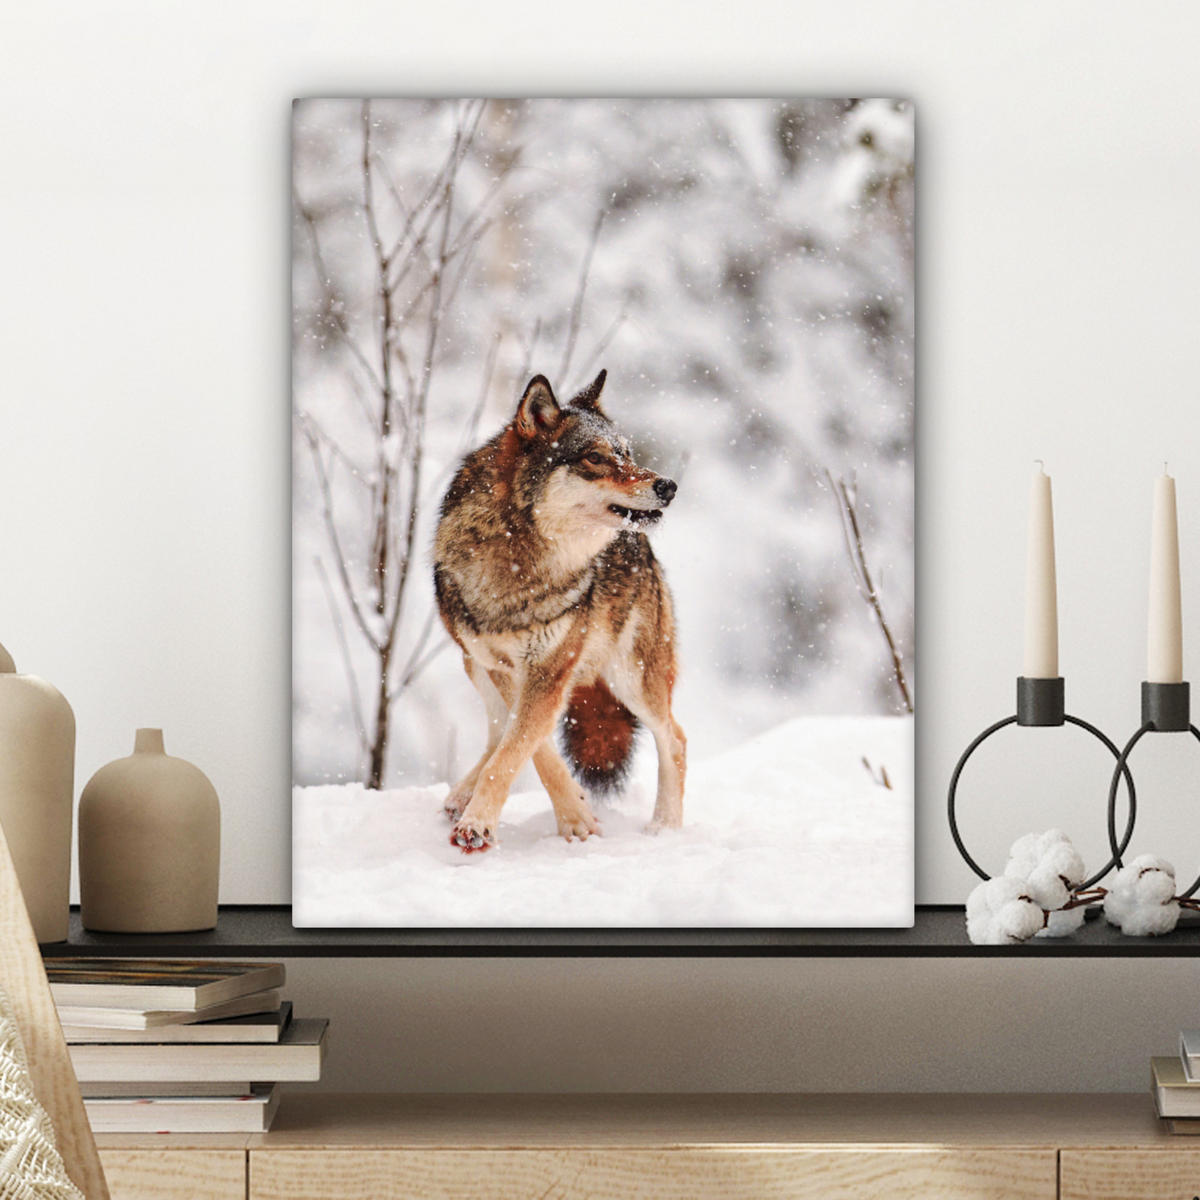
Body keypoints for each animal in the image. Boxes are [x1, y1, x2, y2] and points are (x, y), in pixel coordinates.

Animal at [433, 369, 686, 853]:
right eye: (595, 458)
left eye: (627, 453)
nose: (668, 486)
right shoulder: (504, 666)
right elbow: (528, 748)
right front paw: (575, 815)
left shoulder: (549, 668)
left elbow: (517, 749)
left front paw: (481, 825)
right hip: (473, 664)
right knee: (496, 730)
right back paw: (459, 795)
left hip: (632, 678)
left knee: (676, 740)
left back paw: (665, 828)